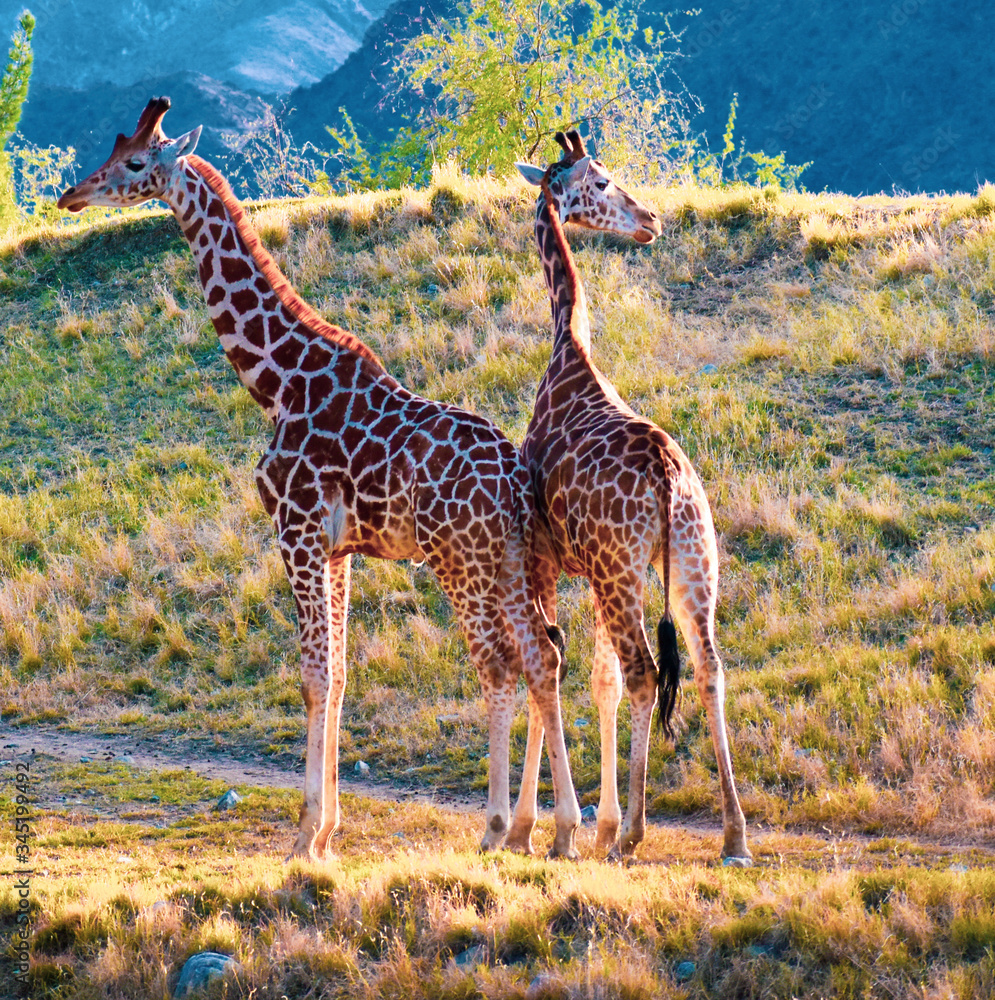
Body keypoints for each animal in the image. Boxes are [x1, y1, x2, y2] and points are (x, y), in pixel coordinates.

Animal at [57, 97, 583, 861]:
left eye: (133, 161)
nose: (71, 194)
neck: (277, 381)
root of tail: (517, 482)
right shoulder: (339, 549)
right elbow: (337, 677)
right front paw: (328, 831)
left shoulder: (295, 529)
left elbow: (312, 676)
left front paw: (304, 835)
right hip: (513, 561)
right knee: (543, 656)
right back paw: (553, 829)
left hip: (458, 559)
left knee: (499, 664)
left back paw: (495, 829)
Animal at [510, 130, 751, 862]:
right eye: (603, 182)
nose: (649, 220)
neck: (568, 348)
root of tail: (670, 478)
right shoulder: (588, 570)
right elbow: (599, 681)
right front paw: (595, 823)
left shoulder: (549, 559)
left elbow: (556, 669)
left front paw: (543, 829)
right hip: (694, 562)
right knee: (708, 668)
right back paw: (733, 835)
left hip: (624, 572)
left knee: (646, 671)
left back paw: (636, 834)